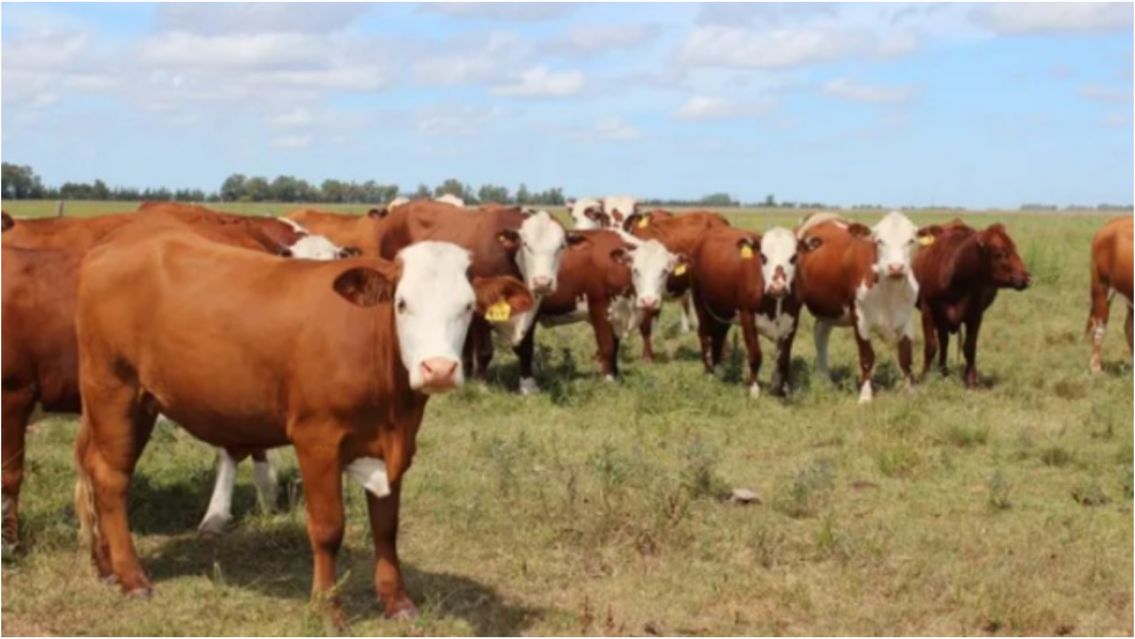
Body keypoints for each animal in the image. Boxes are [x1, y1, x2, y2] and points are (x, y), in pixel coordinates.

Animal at [72, 229, 532, 621]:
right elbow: (328, 528)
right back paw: (132, 576)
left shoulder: (392, 444)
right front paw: (327, 609)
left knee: (92, 467)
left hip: (134, 401)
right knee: (111, 478)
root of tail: (110, 247)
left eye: (467, 307)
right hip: (113, 390)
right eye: (402, 304)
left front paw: (397, 602)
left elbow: (387, 527)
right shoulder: (317, 439)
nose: (438, 369)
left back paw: (105, 564)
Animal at [514, 231, 681, 392]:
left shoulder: (615, 315)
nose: (649, 301)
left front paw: (615, 374)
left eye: (664, 271)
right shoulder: (599, 309)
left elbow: (615, 346)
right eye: (636, 270)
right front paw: (608, 379)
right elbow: (607, 346)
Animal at [690, 226, 803, 397]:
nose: (777, 287)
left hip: (724, 310)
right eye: (763, 256)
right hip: (700, 302)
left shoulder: (792, 321)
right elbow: (755, 354)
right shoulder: (747, 315)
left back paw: (718, 369)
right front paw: (754, 388)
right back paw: (709, 372)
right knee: (705, 335)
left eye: (793, 257)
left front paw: (783, 390)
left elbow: (784, 359)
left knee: (719, 336)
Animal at [796, 211, 930, 403]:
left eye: (911, 240)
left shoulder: (906, 318)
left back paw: (825, 380)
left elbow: (906, 357)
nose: (896, 267)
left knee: (820, 336)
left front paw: (911, 392)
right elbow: (867, 358)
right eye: (879, 241)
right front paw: (866, 396)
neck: (889, 290)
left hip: (829, 311)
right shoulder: (859, 319)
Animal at [913, 220, 1030, 387]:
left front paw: (972, 380)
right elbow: (930, 345)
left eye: (1014, 247)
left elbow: (969, 347)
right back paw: (942, 370)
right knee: (943, 341)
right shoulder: (927, 309)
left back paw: (944, 370)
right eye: (1000, 252)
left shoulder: (975, 314)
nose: (1026, 277)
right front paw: (924, 377)